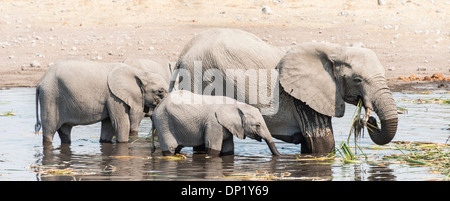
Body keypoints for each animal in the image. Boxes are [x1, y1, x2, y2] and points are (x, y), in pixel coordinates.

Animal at [34, 57, 169, 144]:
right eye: (160, 91)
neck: (140, 72)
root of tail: (40, 82)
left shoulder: (111, 98)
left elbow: (108, 125)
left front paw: (104, 141)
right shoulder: (114, 96)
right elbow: (120, 124)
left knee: (65, 131)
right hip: (50, 96)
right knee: (49, 130)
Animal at [152, 89, 282, 157]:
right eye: (257, 125)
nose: (281, 156)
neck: (237, 105)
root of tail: (158, 106)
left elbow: (228, 149)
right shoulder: (214, 124)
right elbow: (213, 148)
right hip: (163, 122)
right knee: (170, 149)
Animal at [171, 28, 398, 154]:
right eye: (357, 80)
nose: (370, 119)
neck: (334, 50)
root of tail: (183, 54)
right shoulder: (304, 99)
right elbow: (322, 144)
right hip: (198, 79)